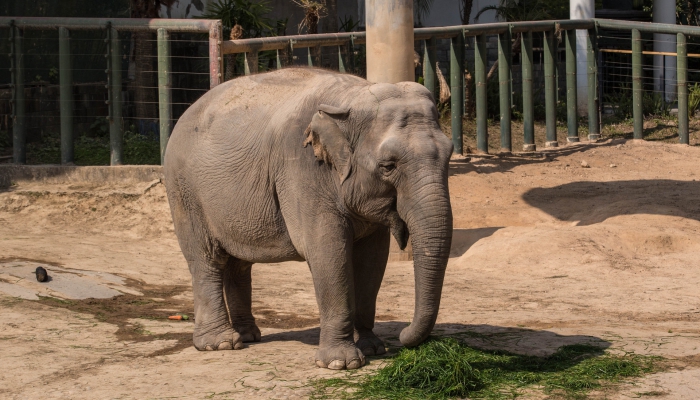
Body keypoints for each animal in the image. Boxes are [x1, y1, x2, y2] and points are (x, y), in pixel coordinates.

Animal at [167, 67, 456, 370]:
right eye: (388, 166)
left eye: (450, 155)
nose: (403, 335)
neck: (351, 97)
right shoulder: (303, 170)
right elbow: (328, 253)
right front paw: (342, 363)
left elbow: (372, 259)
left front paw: (374, 348)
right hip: (184, 192)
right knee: (206, 260)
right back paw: (220, 344)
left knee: (238, 264)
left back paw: (248, 336)